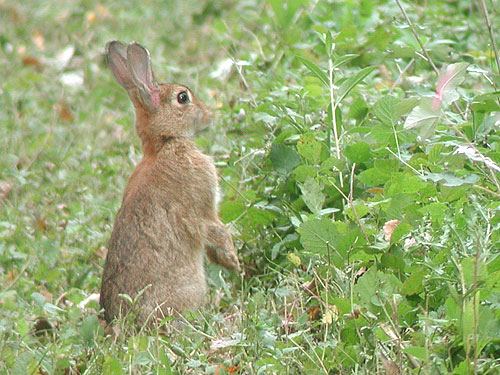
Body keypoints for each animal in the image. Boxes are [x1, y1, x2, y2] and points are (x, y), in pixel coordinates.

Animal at [100, 41, 240, 328]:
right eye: (182, 97)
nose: (209, 115)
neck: (164, 144)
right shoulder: (201, 209)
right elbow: (216, 230)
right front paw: (234, 262)